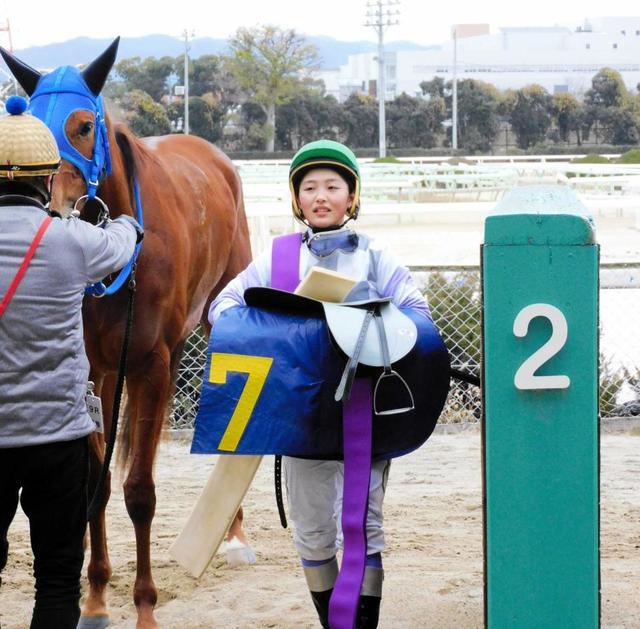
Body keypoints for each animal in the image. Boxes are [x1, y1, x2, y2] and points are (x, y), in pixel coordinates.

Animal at [2, 40, 252, 628]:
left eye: (82, 125)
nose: (55, 208)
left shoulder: (150, 364)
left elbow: (139, 491)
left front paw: (144, 605)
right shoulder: (94, 369)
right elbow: (95, 486)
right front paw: (95, 597)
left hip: (216, 322)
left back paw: (232, 535)